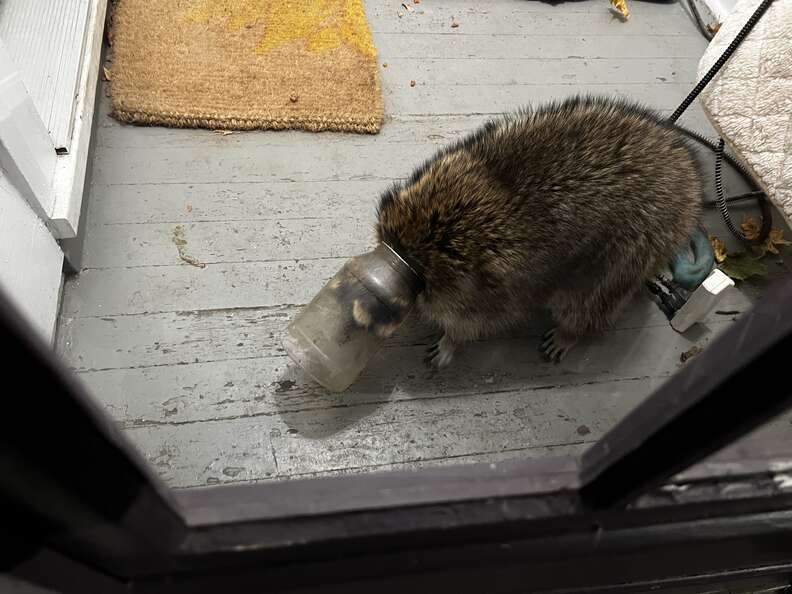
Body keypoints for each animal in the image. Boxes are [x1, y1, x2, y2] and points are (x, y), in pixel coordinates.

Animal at [378, 95, 704, 366]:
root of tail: (689, 183)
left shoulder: (498, 295)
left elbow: (477, 322)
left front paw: (451, 341)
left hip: (627, 257)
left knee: (589, 304)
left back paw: (571, 332)